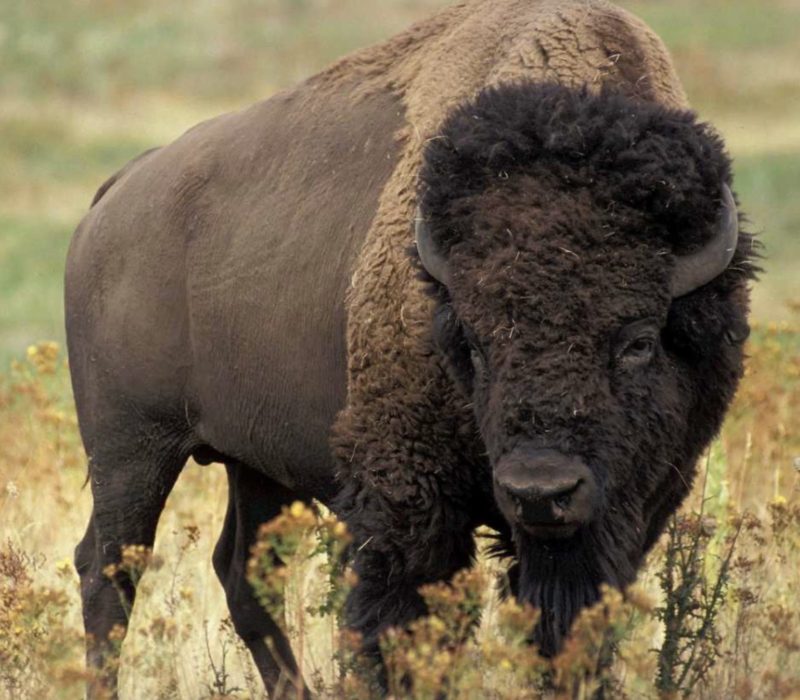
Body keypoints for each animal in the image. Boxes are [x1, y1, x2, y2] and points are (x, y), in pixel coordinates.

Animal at [66, 0, 756, 696]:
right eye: (473, 344)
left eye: (639, 341)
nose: (541, 491)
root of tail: (115, 194)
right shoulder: (407, 499)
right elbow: (403, 624)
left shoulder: (632, 508)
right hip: (132, 449)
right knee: (109, 572)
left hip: (254, 462)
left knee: (242, 574)